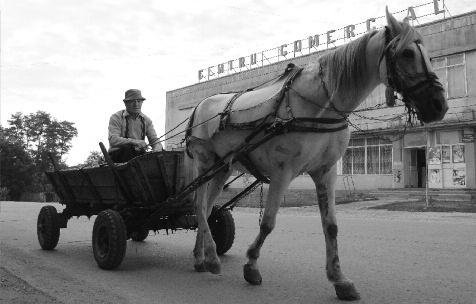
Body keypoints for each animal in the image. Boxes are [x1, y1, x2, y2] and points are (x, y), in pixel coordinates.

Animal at [185, 8, 446, 300]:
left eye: (428, 55)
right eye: (407, 54)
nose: (439, 105)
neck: (319, 103)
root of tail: (200, 105)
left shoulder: (326, 172)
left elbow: (331, 226)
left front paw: (339, 279)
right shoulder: (282, 173)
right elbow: (268, 223)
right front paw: (251, 265)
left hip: (222, 168)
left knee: (207, 209)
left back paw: (200, 256)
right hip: (205, 163)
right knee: (199, 206)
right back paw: (211, 258)